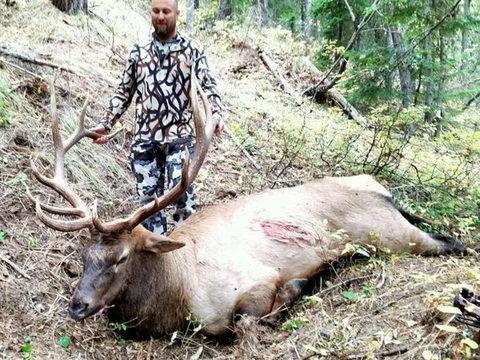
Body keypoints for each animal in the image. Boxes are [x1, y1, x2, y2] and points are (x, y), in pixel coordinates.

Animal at [30, 82, 464, 340]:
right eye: (85, 255)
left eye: (121, 257)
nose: (77, 305)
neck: (176, 298)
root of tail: (382, 190)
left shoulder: (252, 281)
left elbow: (249, 318)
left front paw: (296, 287)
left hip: (390, 234)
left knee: (450, 241)